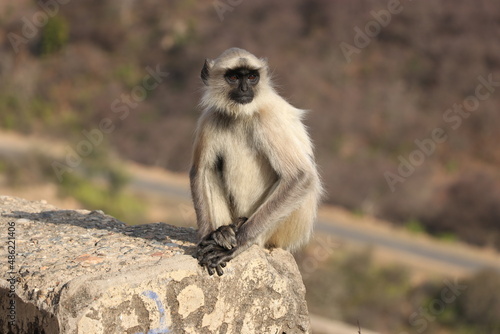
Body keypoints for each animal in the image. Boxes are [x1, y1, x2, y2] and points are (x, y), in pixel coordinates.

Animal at [189, 47, 322, 276]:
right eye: (234, 77)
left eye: (252, 77)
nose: (244, 89)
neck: (240, 114)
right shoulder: (211, 117)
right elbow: (201, 171)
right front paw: (207, 237)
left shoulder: (268, 118)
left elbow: (300, 177)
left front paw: (239, 244)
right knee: (211, 169)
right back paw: (223, 232)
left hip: (287, 228)